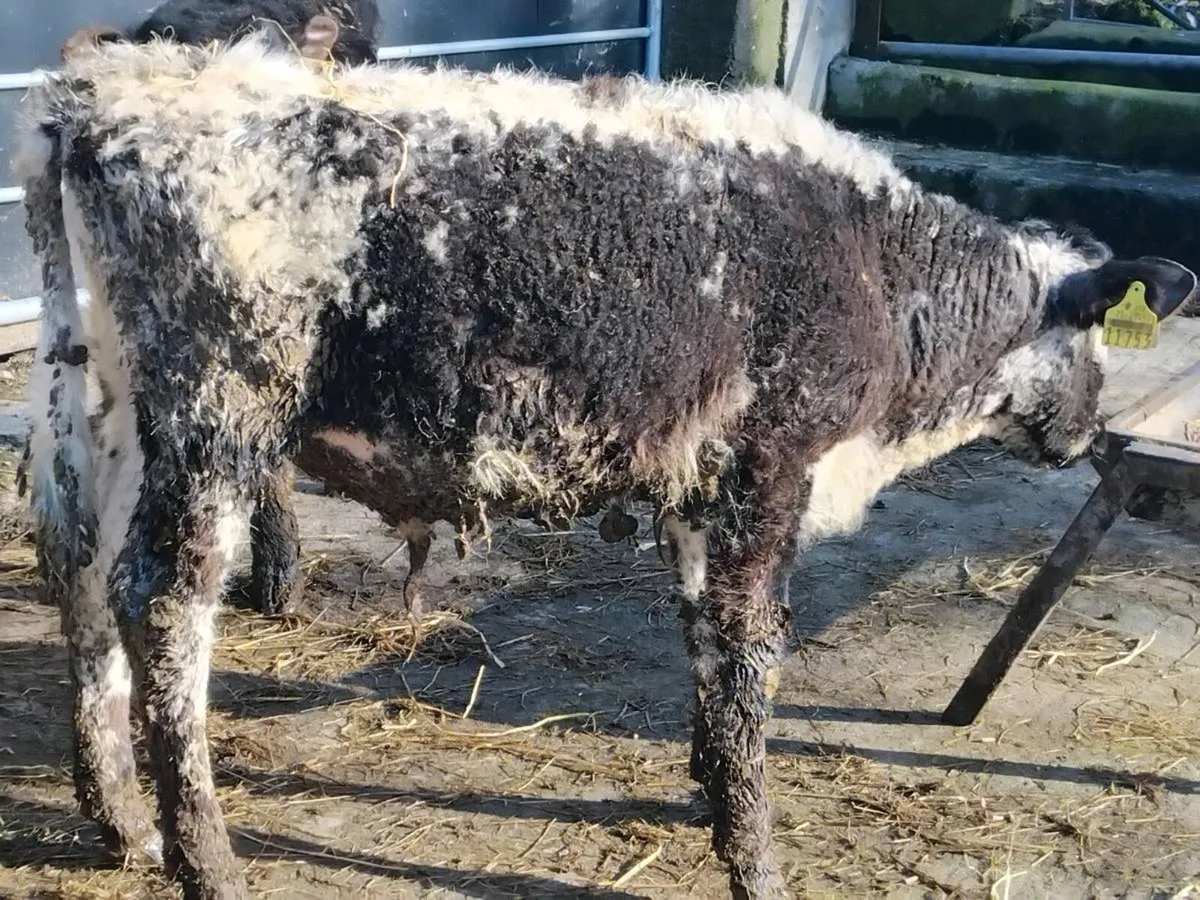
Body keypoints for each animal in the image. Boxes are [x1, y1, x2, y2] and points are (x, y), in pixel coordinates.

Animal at [15, 19, 1196, 900]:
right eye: (1098, 336)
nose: (1085, 434)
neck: (878, 268)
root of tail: (107, 94)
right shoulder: (770, 465)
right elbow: (749, 651)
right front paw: (756, 861)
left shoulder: (696, 489)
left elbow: (705, 643)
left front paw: (709, 790)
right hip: (216, 412)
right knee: (163, 603)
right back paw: (207, 862)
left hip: (96, 404)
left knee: (77, 563)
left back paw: (122, 822)